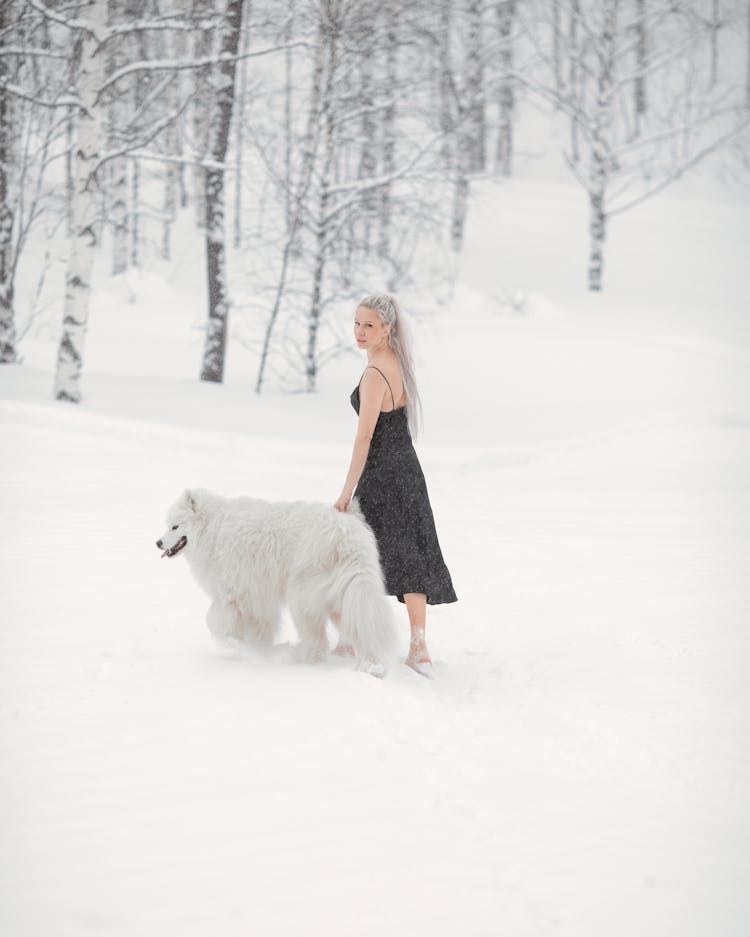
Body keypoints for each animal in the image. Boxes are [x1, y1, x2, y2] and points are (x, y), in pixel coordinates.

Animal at [156, 490, 396, 672]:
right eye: (167, 525)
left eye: (175, 526)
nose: (158, 542)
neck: (213, 530)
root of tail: (347, 534)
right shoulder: (255, 599)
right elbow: (258, 629)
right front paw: (255, 651)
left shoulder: (230, 595)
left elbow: (213, 620)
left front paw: (232, 646)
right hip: (344, 596)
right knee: (362, 630)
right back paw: (371, 667)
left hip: (303, 597)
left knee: (318, 639)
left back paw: (308, 665)